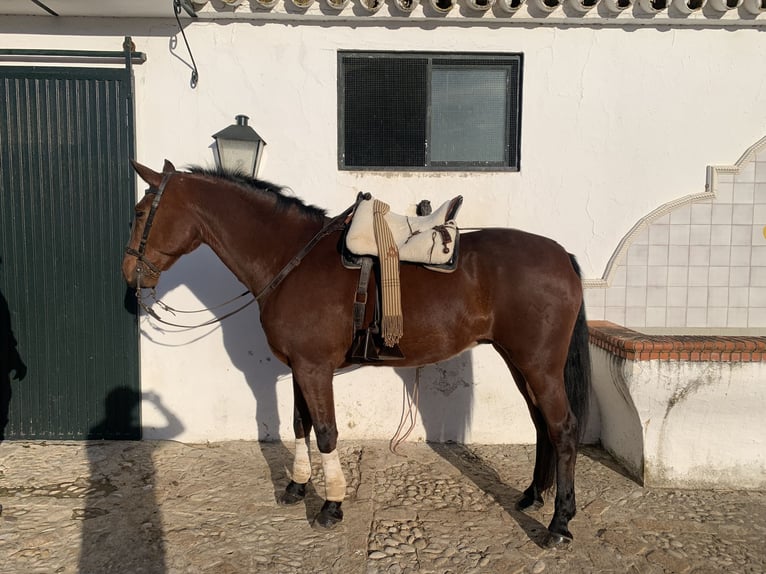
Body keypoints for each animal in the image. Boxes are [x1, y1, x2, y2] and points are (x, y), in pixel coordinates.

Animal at [124, 160, 592, 548]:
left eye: (141, 213)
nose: (130, 275)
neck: (289, 258)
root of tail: (561, 255)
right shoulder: (299, 368)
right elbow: (300, 424)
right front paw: (297, 487)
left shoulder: (315, 370)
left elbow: (326, 432)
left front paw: (331, 505)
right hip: (519, 362)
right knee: (541, 426)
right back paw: (532, 496)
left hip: (539, 366)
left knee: (563, 429)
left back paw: (559, 524)